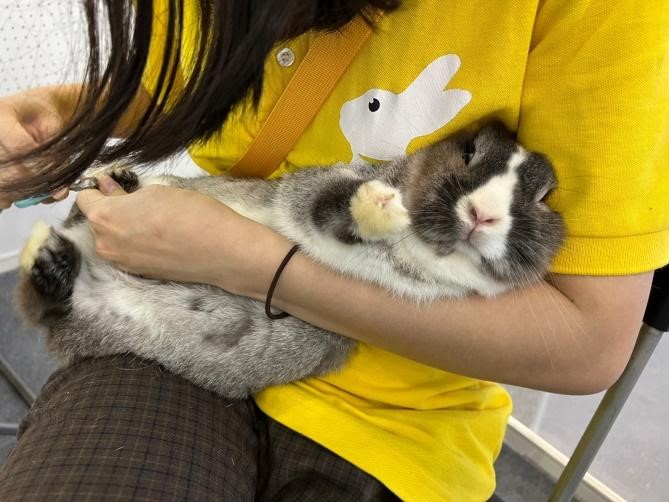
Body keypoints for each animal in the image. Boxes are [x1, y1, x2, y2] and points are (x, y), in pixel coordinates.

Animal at [15, 124, 564, 398]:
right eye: (468, 153)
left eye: (544, 197)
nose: (481, 214)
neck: (412, 254)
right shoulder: (311, 195)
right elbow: (332, 205)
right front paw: (384, 207)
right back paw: (114, 183)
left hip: (87, 317)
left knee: (49, 301)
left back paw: (51, 259)